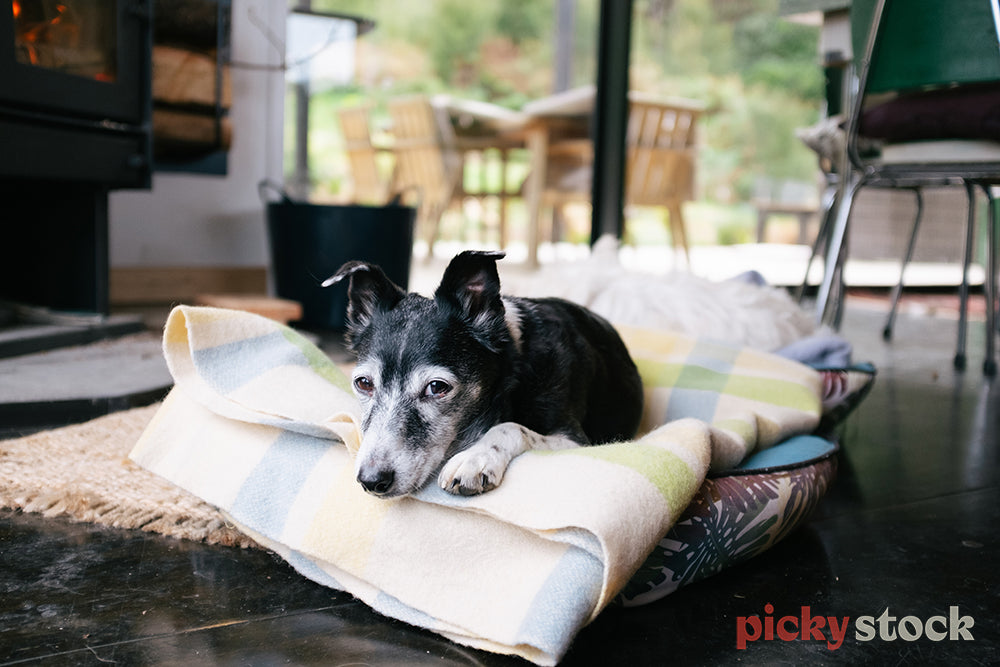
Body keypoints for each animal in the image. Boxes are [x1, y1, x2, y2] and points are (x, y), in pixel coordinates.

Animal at [324, 253, 644, 498]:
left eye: (437, 387)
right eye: (363, 383)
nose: (371, 480)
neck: (513, 369)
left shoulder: (575, 440)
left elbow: (511, 427)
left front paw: (474, 459)